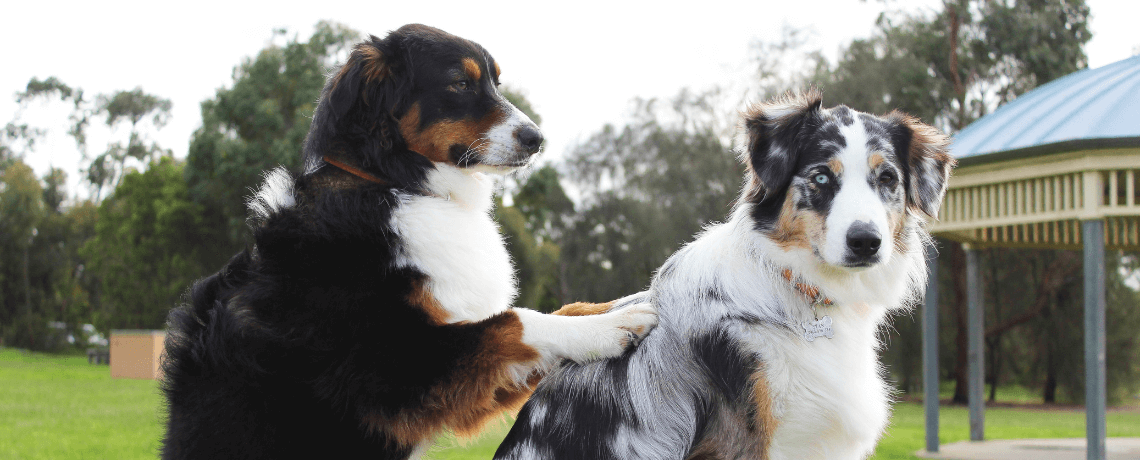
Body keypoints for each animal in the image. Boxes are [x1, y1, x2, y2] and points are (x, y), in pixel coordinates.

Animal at [163, 26, 661, 459]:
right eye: (459, 83)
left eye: (495, 82)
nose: (537, 139)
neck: (393, 183)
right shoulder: (395, 369)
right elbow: (515, 322)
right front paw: (609, 327)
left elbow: (553, 311)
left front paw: (607, 307)